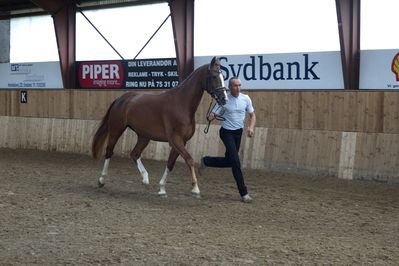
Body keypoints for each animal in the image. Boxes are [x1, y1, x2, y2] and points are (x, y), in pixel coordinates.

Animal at [92, 56, 227, 197]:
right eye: (214, 76)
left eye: (223, 76)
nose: (224, 99)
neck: (181, 104)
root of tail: (120, 99)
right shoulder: (176, 140)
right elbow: (189, 160)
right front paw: (195, 189)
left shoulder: (181, 142)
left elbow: (170, 164)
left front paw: (162, 188)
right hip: (116, 130)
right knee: (109, 151)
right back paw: (102, 180)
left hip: (144, 136)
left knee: (134, 154)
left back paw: (145, 178)